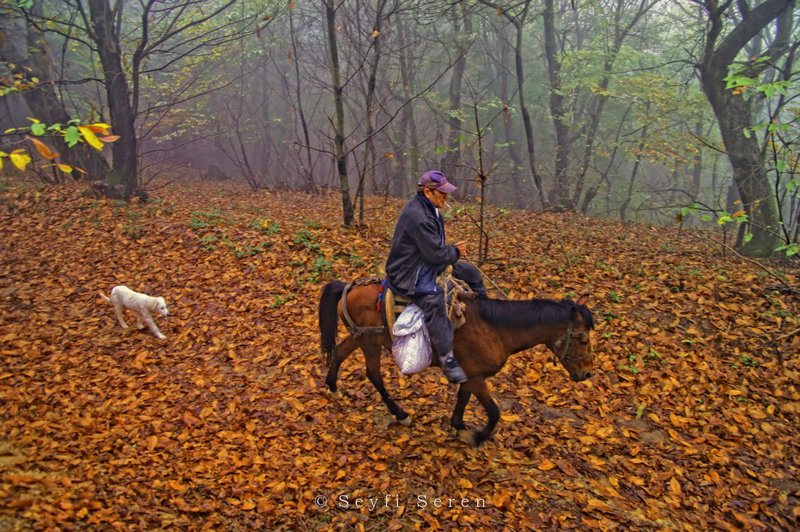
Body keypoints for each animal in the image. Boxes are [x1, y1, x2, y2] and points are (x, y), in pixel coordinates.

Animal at [318, 280, 592, 446]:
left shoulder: (470, 375)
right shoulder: (477, 379)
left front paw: (458, 426)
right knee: (374, 374)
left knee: (340, 353)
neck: (496, 329)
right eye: (583, 339)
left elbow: (463, 399)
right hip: (370, 342)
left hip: (359, 336)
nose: (587, 373)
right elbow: (494, 413)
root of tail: (348, 288)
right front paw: (476, 437)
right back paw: (400, 414)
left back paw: (333, 387)